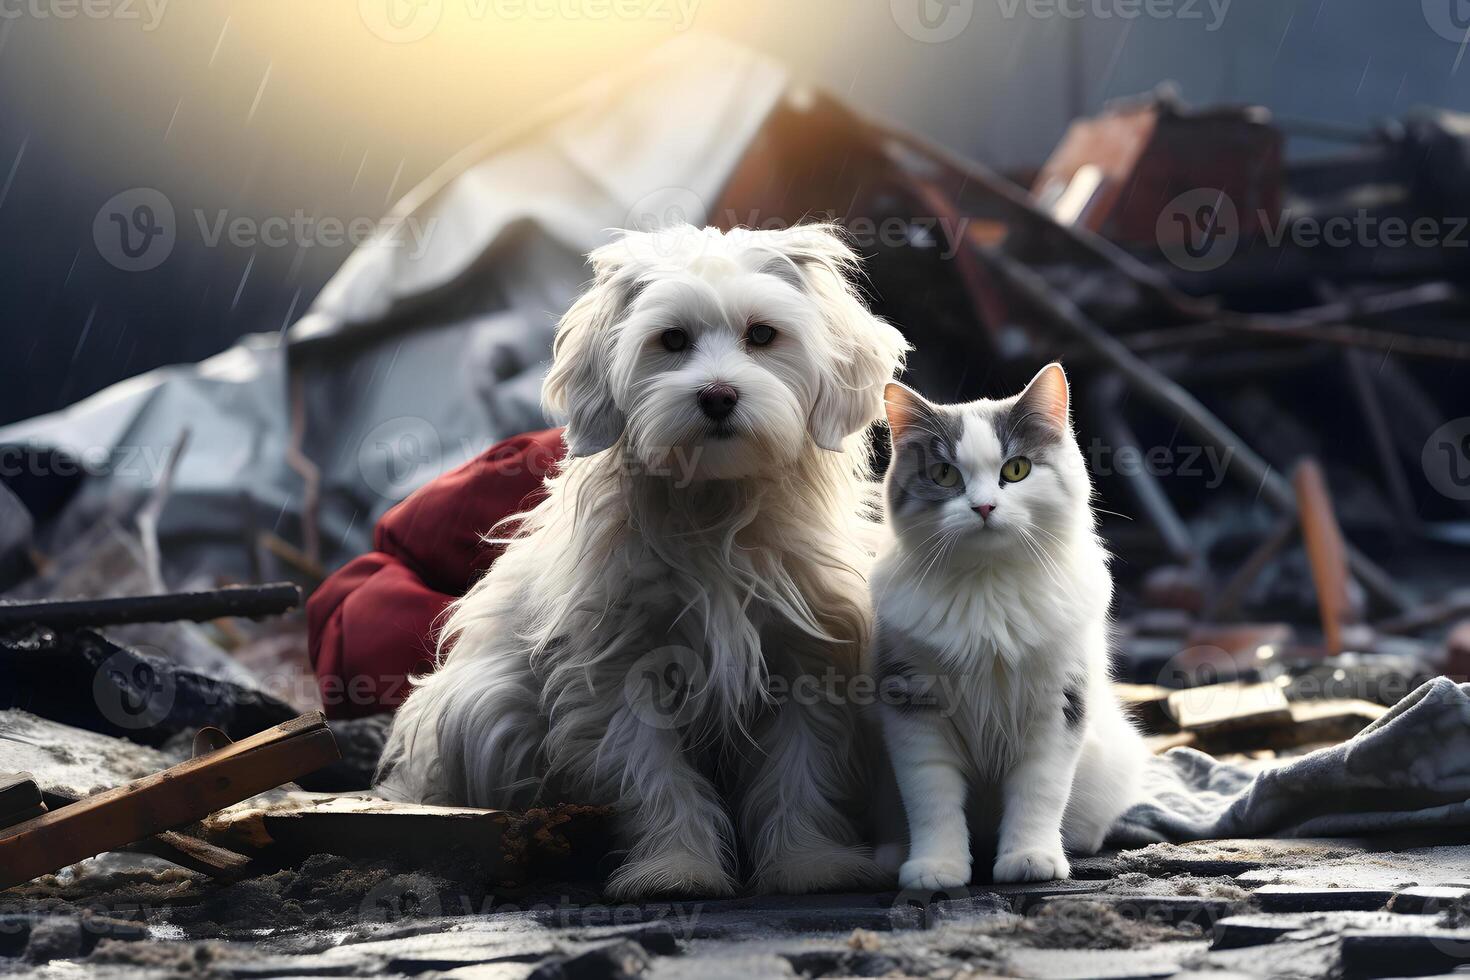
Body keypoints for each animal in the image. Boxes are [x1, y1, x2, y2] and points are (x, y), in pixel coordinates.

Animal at [379, 221, 905, 899]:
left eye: (763, 335)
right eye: (671, 339)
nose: (717, 395)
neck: (715, 506)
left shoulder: (808, 664)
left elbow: (799, 773)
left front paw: (807, 864)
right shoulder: (620, 670)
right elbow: (653, 777)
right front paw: (675, 870)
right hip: (483, 709)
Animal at [870, 362, 1146, 887]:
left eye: (1015, 470)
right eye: (944, 474)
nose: (983, 507)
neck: (987, 588)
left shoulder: (1057, 705)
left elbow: (1038, 793)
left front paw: (1029, 858)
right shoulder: (913, 706)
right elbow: (932, 798)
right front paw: (936, 866)